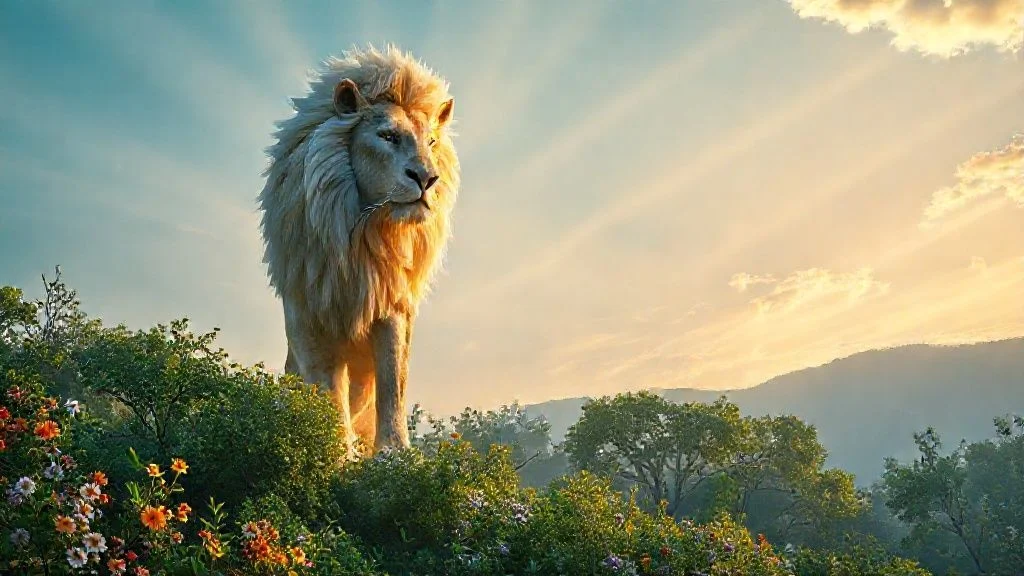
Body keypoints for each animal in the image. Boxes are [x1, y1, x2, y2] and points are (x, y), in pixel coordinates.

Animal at [257, 45, 460, 458]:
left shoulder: (392, 306)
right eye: (387, 136)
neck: (363, 234)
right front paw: (335, 453)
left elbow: (393, 381)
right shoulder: (308, 315)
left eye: (431, 142)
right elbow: (328, 390)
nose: (427, 179)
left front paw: (394, 453)